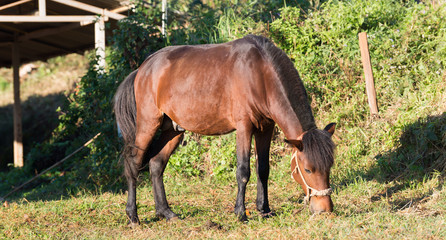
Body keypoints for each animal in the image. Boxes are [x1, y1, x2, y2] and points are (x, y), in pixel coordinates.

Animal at [113, 34, 336, 225]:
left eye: (329, 166)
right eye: (307, 169)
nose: (325, 210)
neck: (260, 74)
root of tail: (143, 68)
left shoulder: (266, 128)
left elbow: (263, 169)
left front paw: (264, 210)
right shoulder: (244, 127)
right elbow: (243, 171)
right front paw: (240, 213)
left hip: (173, 130)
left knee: (156, 164)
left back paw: (166, 212)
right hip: (148, 125)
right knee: (134, 164)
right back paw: (133, 216)